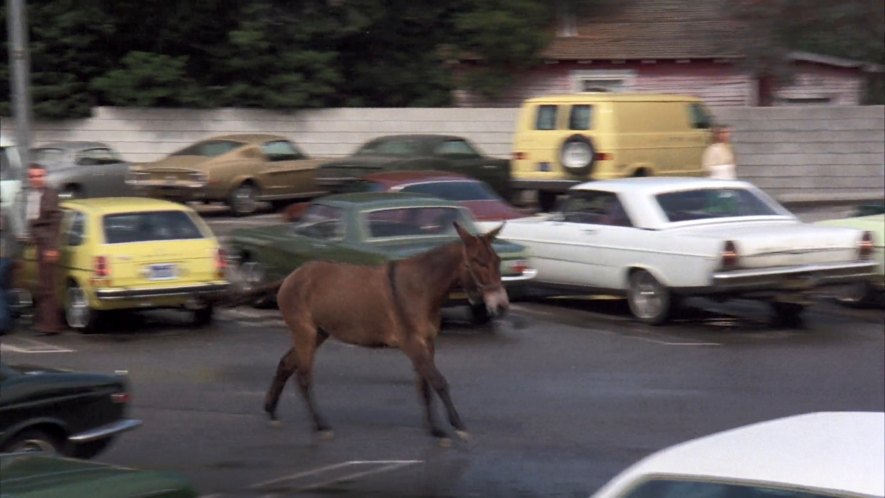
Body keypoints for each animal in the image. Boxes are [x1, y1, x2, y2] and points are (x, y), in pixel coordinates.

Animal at [262, 221, 508, 440]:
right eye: (478, 262)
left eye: (497, 260)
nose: (502, 306)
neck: (421, 287)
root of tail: (290, 276)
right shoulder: (412, 343)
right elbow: (438, 381)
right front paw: (458, 426)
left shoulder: (428, 343)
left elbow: (425, 386)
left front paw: (436, 430)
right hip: (305, 332)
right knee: (303, 377)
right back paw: (321, 425)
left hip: (318, 333)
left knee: (286, 365)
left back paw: (271, 411)